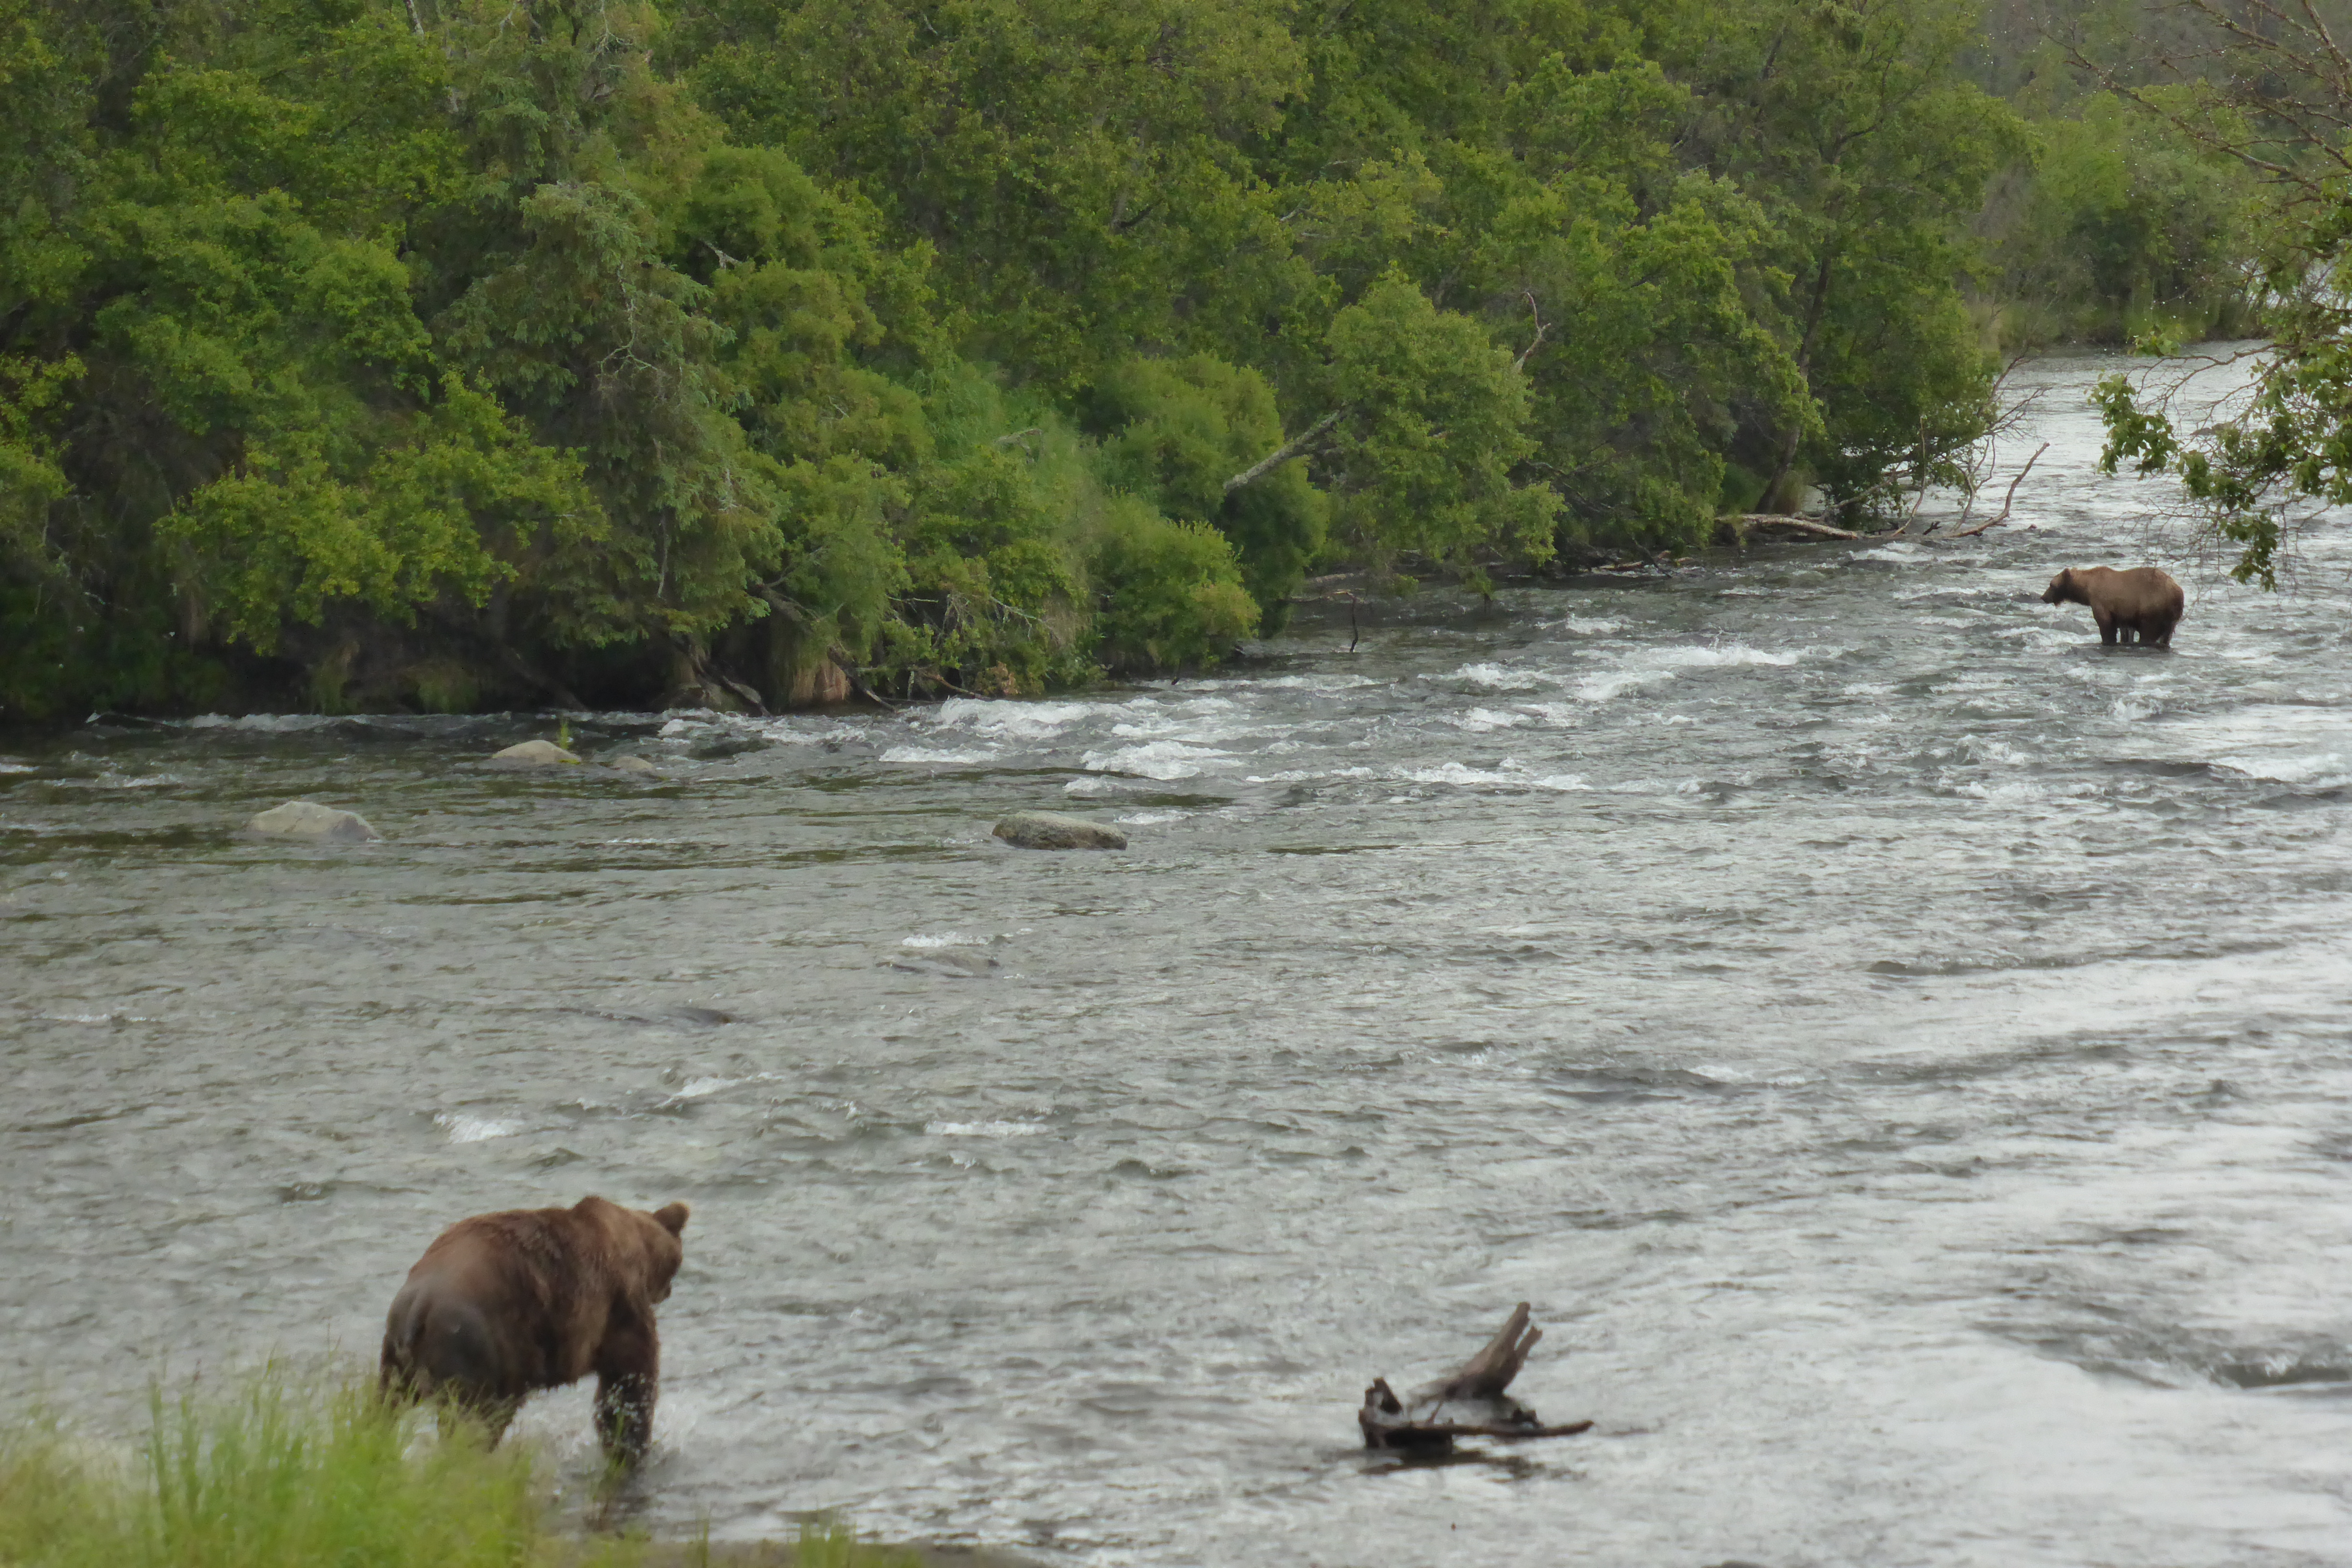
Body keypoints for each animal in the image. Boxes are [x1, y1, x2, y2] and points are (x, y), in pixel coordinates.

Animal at [381, 1194, 686, 1467]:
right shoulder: (617, 1306)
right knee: (475, 1421)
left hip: (396, 1353)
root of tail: (421, 1306)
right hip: (474, 1346)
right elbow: (630, 1380)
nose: (669, 1291)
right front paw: (629, 1444)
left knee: (386, 1405)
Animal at [2041, 566, 2182, 649]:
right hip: (2171, 618)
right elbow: (2125, 631)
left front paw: (2107, 641)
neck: (2087, 588)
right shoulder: (2124, 614)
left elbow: (2106, 625)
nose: (2044, 597)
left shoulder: (2102, 602)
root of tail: (2178, 592)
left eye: (2051, 584)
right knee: (2166, 636)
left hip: (2153, 607)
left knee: (2149, 632)